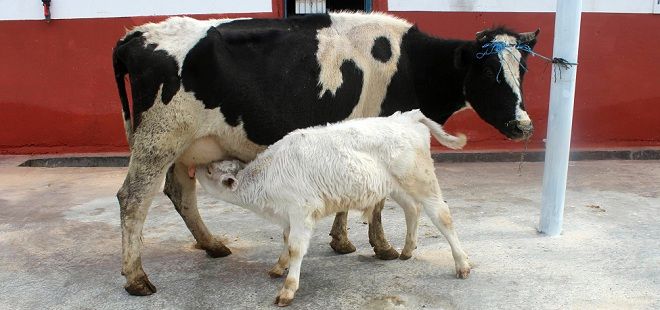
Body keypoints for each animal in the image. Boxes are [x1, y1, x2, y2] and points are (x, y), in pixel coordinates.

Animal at [196, 110, 470, 306]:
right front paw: (278, 267)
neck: (269, 175)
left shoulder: (302, 211)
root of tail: (406, 116)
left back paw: (461, 264)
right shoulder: (289, 217)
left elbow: (295, 248)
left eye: (209, 170)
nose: (194, 166)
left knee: (442, 215)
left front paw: (288, 289)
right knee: (412, 209)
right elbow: (286, 243)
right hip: (396, 187)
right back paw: (407, 250)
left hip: (422, 181)